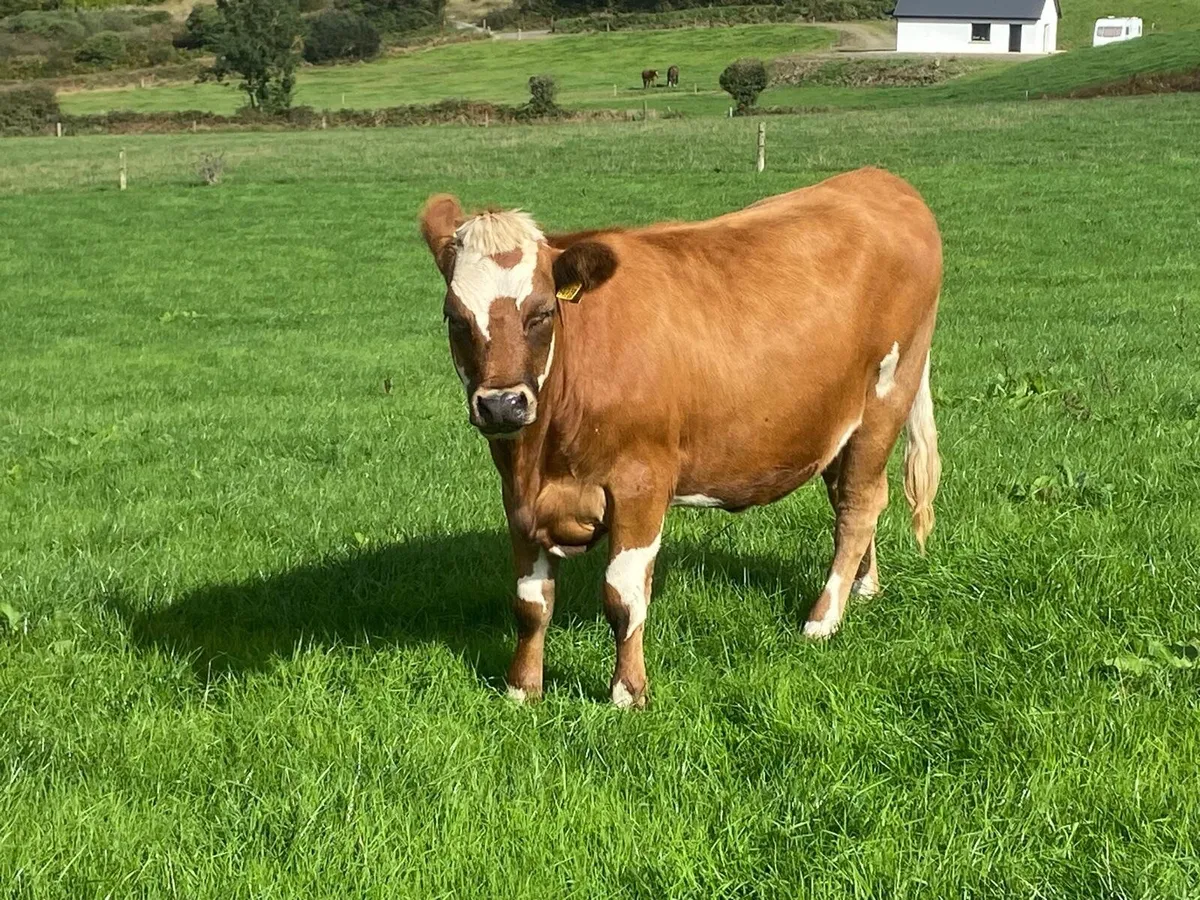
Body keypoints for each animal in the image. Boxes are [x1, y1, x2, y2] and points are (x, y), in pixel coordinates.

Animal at [418, 167, 942, 709]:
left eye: (541, 312)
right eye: (454, 317)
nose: (503, 404)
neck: (542, 454)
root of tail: (881, 181)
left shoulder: (641, 485)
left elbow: (623, 597)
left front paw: (628, 693)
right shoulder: (519, 498)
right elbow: (531, 602)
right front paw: (522, 689)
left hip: (887, 395)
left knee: (860, 503)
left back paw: (824, 618)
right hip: (839, 422)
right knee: (852, 497)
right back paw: (865, 587)